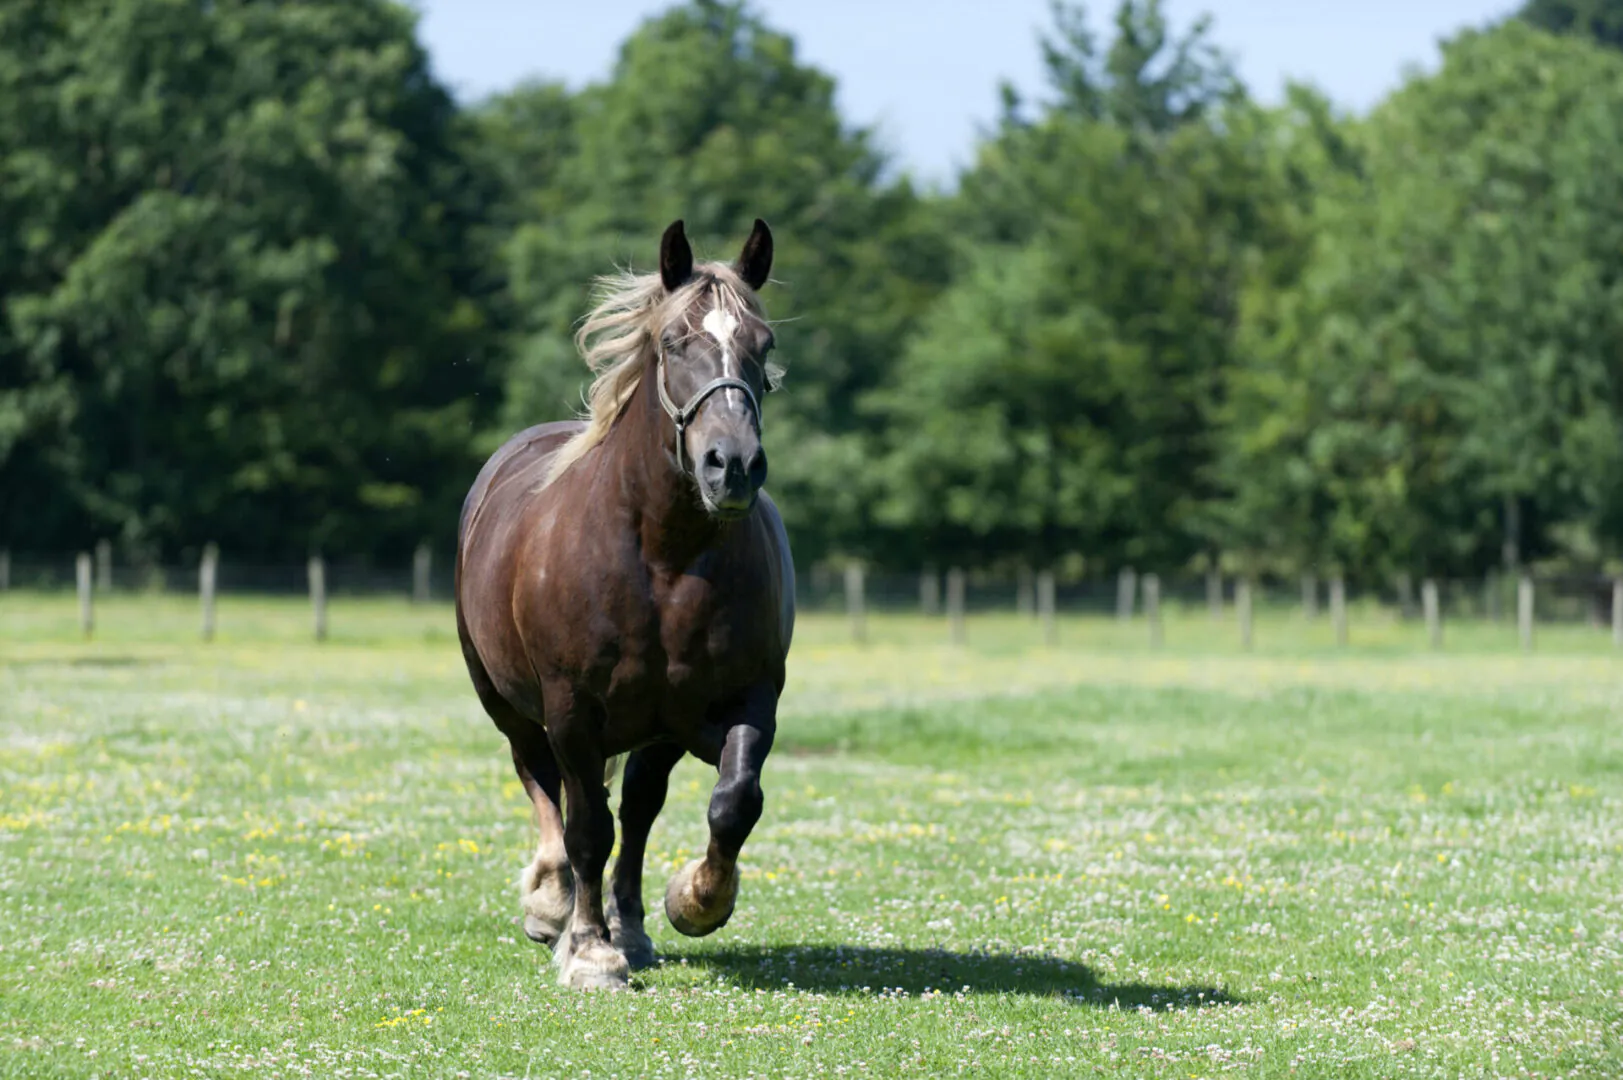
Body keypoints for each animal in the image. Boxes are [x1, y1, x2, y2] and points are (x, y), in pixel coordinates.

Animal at [454, 217, 795, 987]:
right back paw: (552, 903)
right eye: (673, 342)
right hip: (507, 702)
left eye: (763, 345)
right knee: (543, 784)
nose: (732, 465)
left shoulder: (739, 701)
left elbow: (732, 801)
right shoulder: (572, 708)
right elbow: (586, 825)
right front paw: (588, 949)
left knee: (636, 807)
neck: (663, 557)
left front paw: (694, 901)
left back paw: (630, 926)